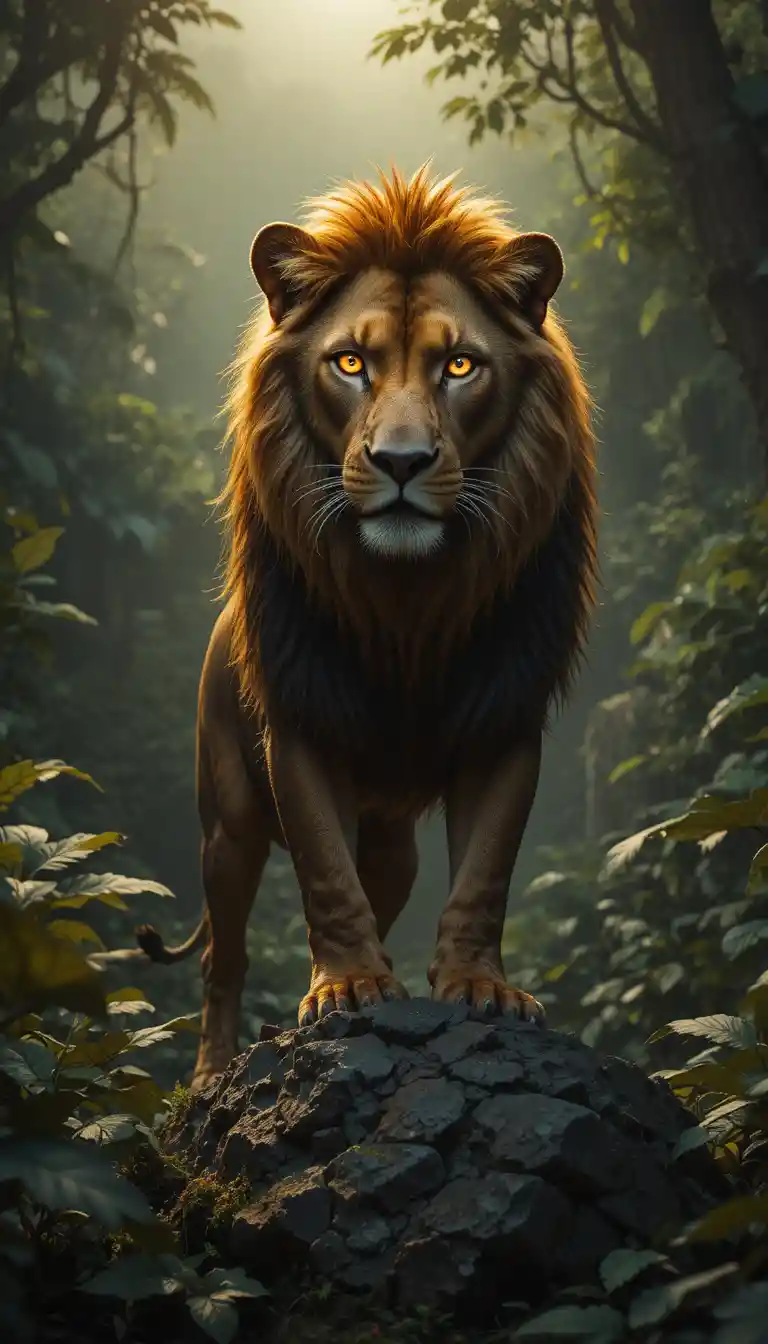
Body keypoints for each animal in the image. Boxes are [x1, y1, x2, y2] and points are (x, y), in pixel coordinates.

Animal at [107, 163, 597, 1092]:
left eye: (459, 364)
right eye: (349, 363)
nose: (401, 463)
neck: (406, 601)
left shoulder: (505, 716)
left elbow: (485, 871)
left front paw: (480, 985)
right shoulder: (301, 719)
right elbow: (324, 872)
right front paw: (349, 987)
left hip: (393, 843)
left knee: (384, 880)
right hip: (227, 825)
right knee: (221, 956)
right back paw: (212, 1072)